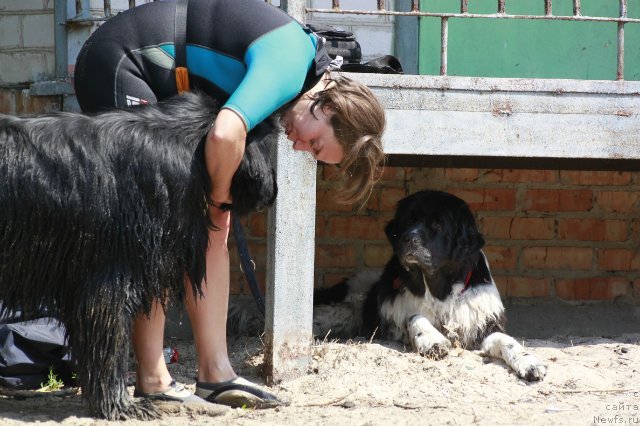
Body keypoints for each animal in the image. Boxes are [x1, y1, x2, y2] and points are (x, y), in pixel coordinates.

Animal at [312, 191, 548, 382]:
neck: (438, 291)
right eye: (407, 221)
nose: (409, 238)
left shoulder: (484, 325)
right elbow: (414, 316)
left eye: (438, 224)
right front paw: (432, 339)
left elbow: (506, 340)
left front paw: (529, 362)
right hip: (344, 308)